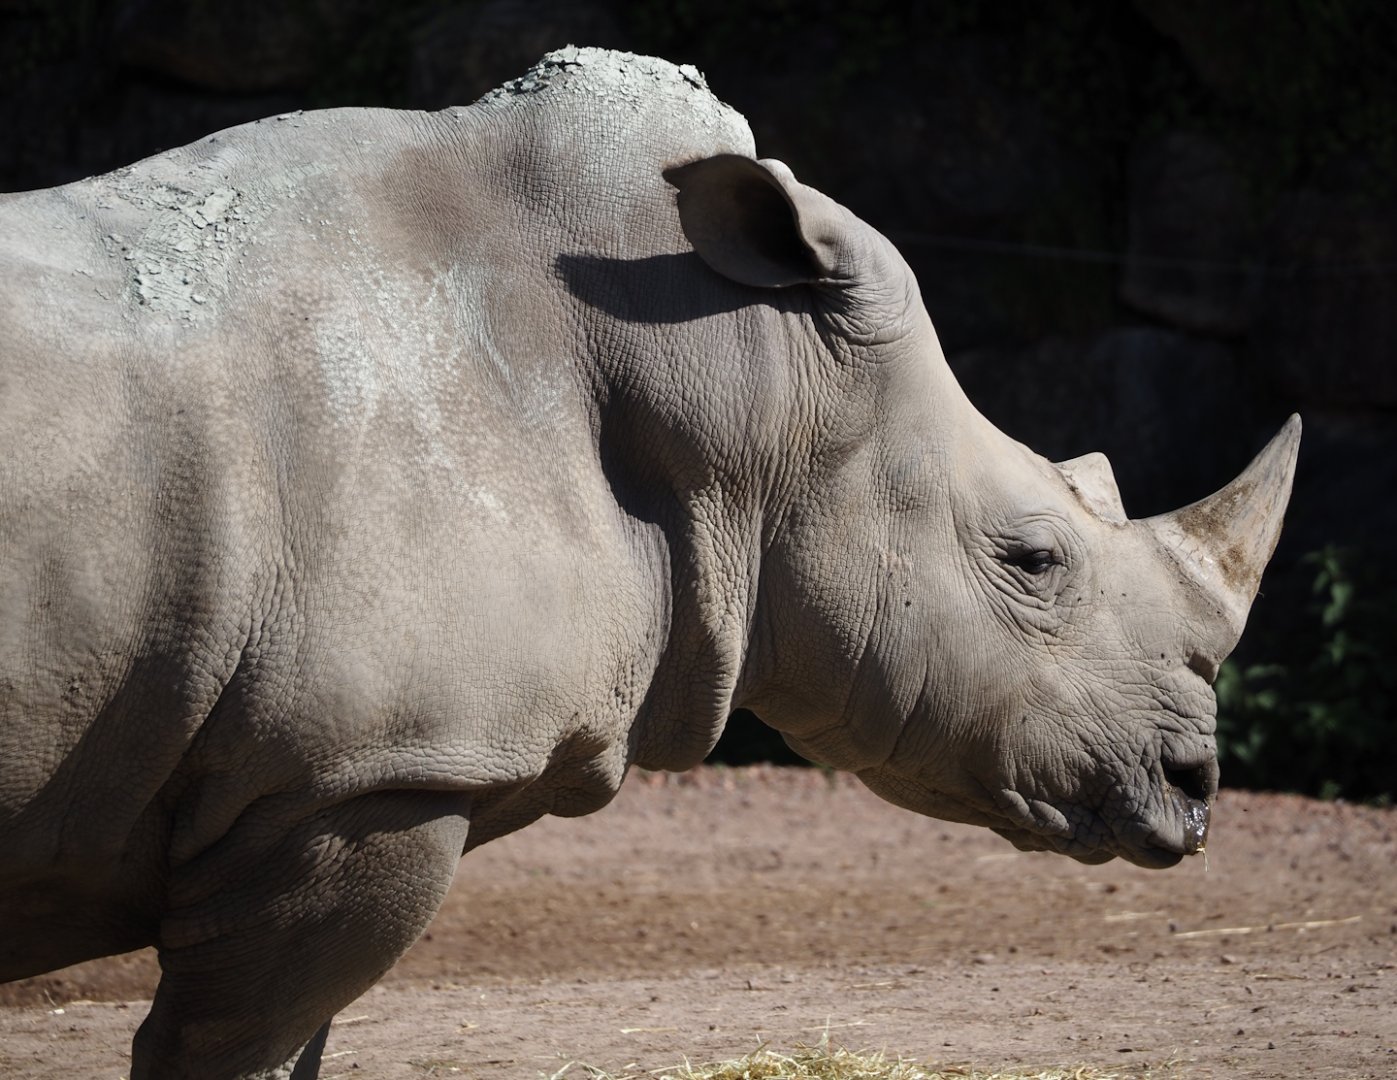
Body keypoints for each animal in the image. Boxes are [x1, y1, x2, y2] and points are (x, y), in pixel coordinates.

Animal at [1, 48, 1298, 1078]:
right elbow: (232, 1047)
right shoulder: (359, 771)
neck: (746, 382)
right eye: (1032, 560)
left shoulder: (343, 777)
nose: (1194, 788)